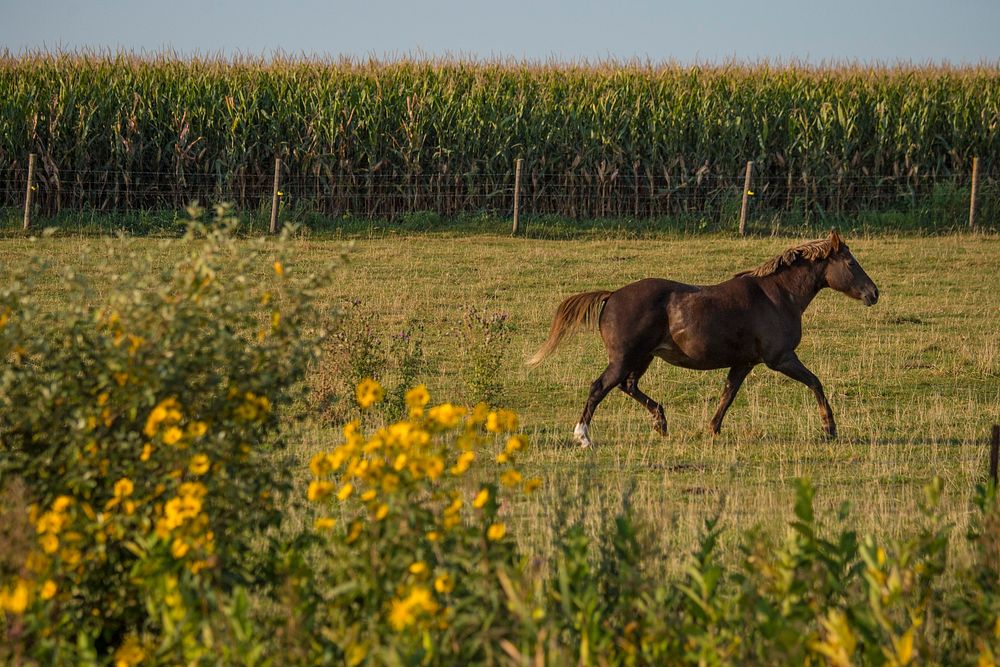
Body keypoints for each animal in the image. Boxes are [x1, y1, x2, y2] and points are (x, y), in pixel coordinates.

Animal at [528, 231, 880, 448]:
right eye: (851, 262)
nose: (873, 293)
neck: (777, 296)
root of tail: (612, 296)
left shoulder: (744, 363)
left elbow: (727, 395)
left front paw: (712, 429)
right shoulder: (780, 358)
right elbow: (815, 382)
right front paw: (829, 428)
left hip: (643, 358)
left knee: (628, 386)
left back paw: (661, 422)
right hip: (624, 358)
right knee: (599, 387)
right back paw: (584, 437)